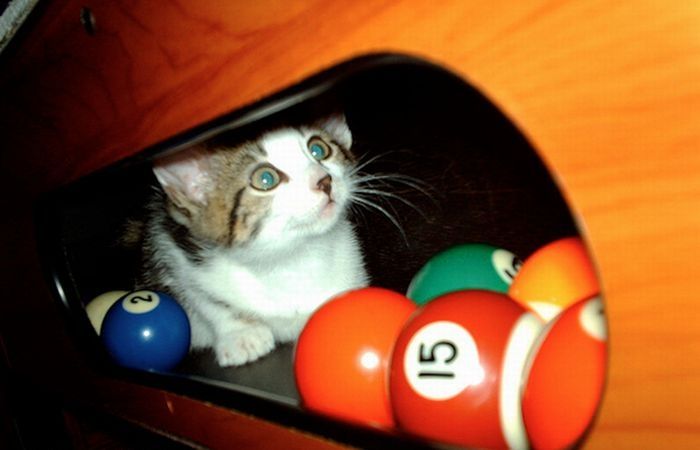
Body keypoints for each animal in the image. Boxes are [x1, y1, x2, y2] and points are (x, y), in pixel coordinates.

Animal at [135, 114, 372, 368]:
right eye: (265, 178)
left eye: (318, 149)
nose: (324, 180)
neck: (290, 258)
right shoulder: (170, 242)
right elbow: (198, 295)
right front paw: (240, 334)